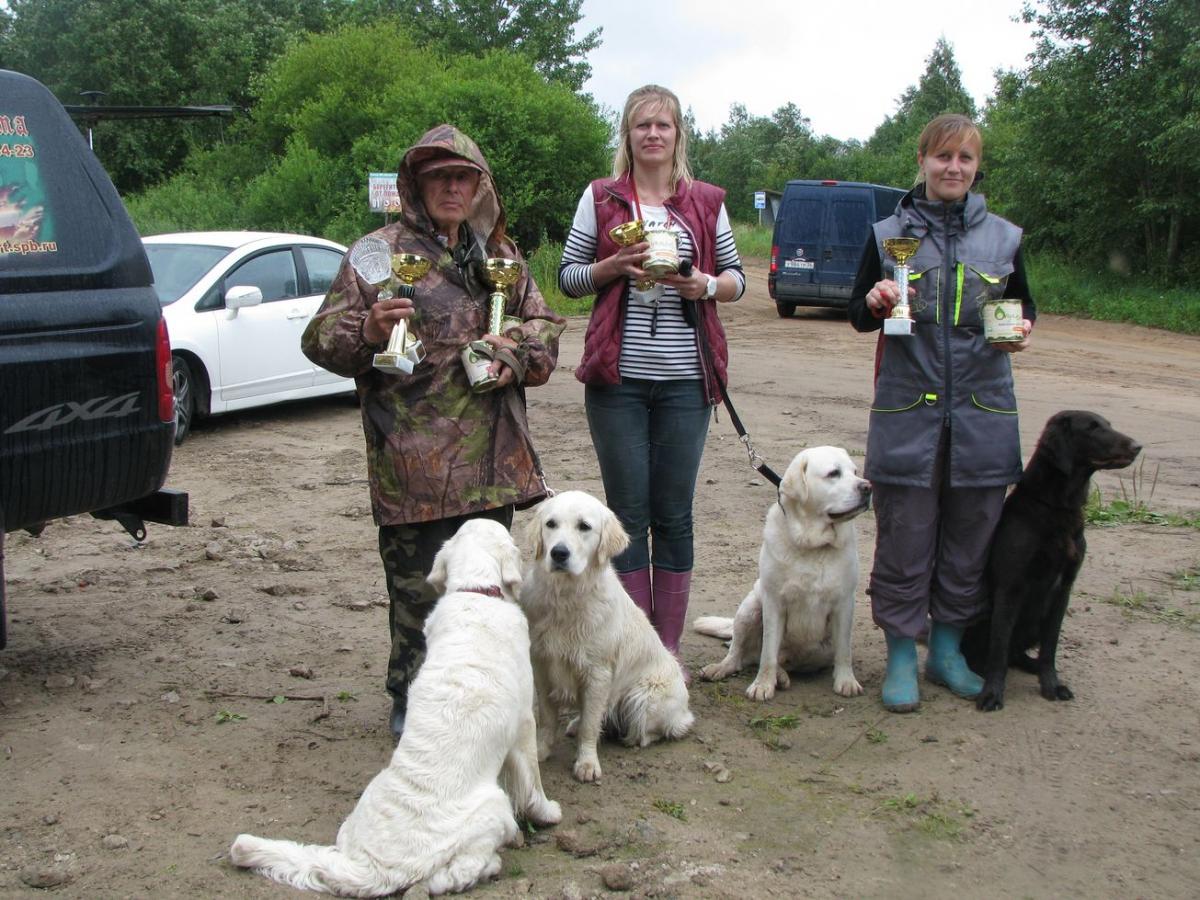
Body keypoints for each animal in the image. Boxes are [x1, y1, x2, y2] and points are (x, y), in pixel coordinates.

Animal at [229, 519, 561, 897]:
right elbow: (532, 782)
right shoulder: (524, 722)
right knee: (453, 874)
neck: (475, 591)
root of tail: (369, 868)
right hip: (493, 807)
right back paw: (490, 864)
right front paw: (548, 813)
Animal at [519, 490, 694, 784]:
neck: (566, 596)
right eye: (550, 524)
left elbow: (590, 726)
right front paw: (541, 750)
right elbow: (547, 717)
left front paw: (587, 763)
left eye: (584, 527)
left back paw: (632, 737)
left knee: (661, 729)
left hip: (645, 696)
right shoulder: (541, 665)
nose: (558, 553)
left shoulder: (597, 673)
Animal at [693, 446, 872, 701]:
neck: (812, 545)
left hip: (820, 649)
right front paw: (762, 685)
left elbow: (844, 651)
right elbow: (768, 652)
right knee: (740, 654)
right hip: (750, 608)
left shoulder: (844, 603)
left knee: (774, 659)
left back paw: (782, 676)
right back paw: (722, 668)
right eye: (833, 473)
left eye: (855, 472)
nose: (867, 487)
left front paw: (846, 681)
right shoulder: (773, 602)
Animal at [964, 411, 1141, 712]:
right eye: (1092, 428)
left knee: (1018, 652)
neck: (1056, 506)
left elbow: (1050, 647)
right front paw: (992, 692)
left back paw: (1031, 665)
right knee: (991, 652)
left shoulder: (1063, 590)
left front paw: (1051, 684)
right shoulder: (1010, 587)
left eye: (1108, 424)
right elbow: (999, 647)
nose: (1137, 446)